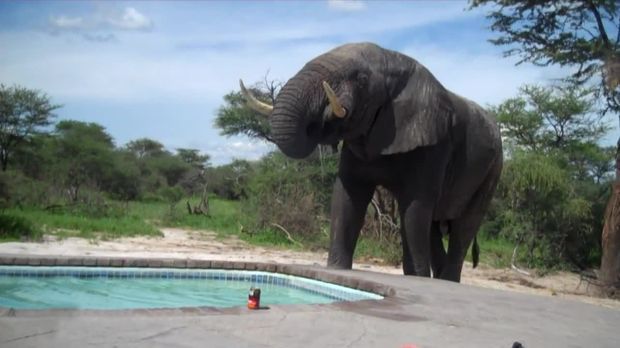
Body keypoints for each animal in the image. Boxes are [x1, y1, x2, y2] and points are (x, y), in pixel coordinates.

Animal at [240, 42, 502, 282]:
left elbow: (415, 208)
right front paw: (336, 269)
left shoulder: (433, 144)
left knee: (464, 226)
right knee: (435, 229)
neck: (398, 61)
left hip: (493, 170)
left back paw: (445, 281)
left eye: (361, 78)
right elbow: (347, 196)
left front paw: (416, 279)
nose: (321, 117)